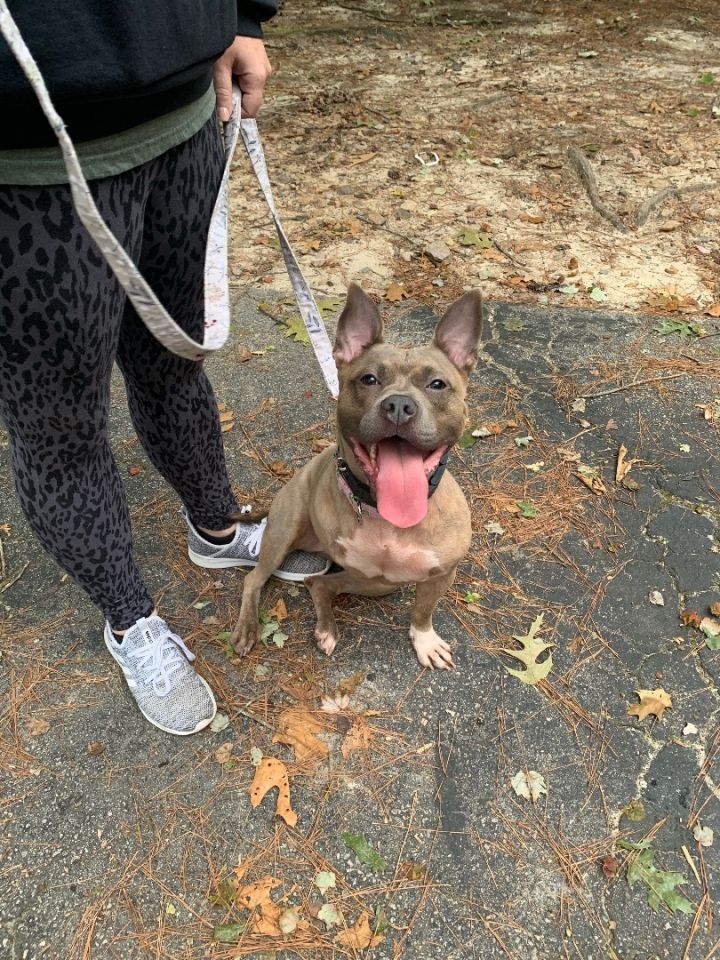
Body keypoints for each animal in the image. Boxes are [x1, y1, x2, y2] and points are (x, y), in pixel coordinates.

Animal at [232, 284, 484, 668]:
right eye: (369, 379)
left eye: (438, 384)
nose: (399, 405)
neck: (384, 513)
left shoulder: (439, 574)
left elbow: (423, 612)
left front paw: (425, 640)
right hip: (284, 533)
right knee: (255, 579)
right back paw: (252, 627)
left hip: (378, 581)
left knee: (318, 583)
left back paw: (325, 627)